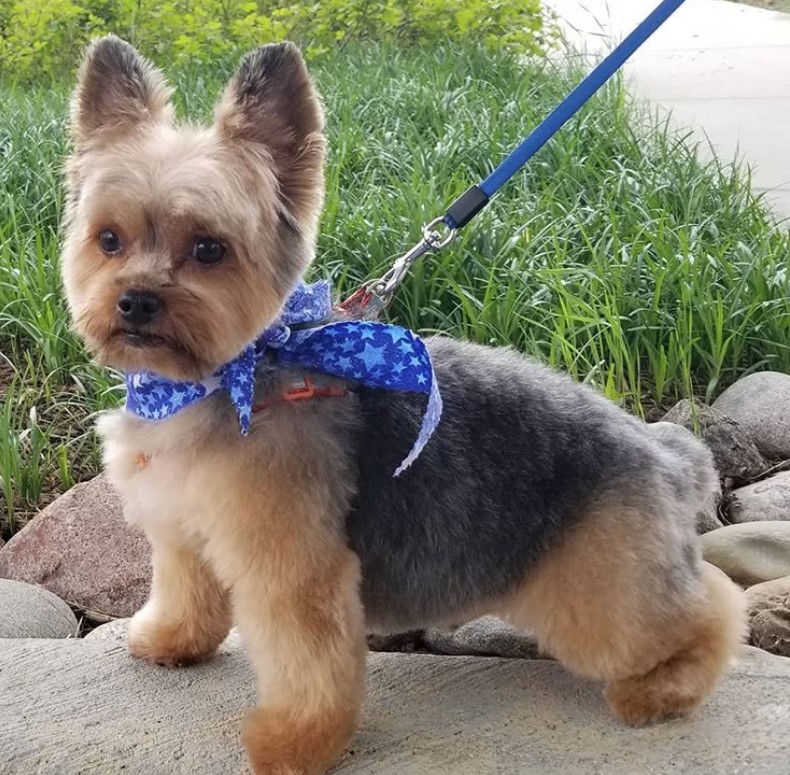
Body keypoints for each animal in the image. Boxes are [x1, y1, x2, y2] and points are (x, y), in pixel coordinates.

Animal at [63, 34, 748, 775]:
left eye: (210, 249)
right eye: (109, 239)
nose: (135, 301)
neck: (214, 378)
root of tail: (661, 448)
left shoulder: (294, 564)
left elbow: (307, 659)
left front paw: (295, 740)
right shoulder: (181, 529)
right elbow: (188, 589)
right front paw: (173, 638)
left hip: (602, 594)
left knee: (713, 611)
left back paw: (662, 688)